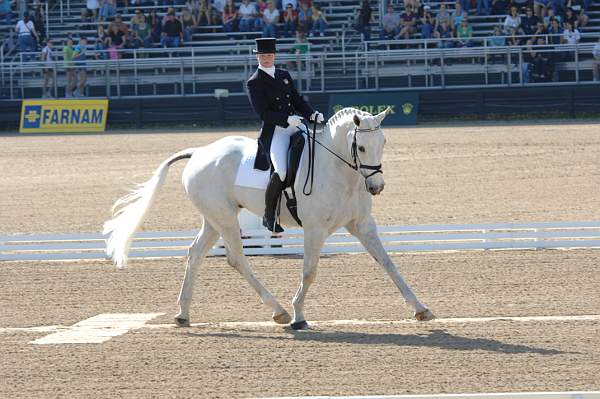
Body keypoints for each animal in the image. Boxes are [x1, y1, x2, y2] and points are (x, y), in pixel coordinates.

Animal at [102, 106, 432, 332]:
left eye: (384, 143)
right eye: (361, 147)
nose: (376, 187)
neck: (338, 171)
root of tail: (198, 152)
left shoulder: (362, 225)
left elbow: (388, 264)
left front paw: (420, 309)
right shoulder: (314, 229)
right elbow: (309, 272)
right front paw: (299, 316)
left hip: (214, 218)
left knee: (194, 254)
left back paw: (183, 314)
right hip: (225, 219)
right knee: (236, 259)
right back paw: (279, 311)